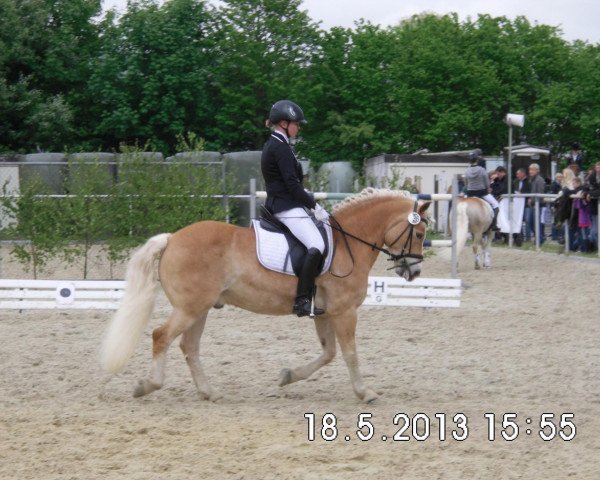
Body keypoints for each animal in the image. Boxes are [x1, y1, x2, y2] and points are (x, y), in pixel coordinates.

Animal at [102, 188, 432, 402]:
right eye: (418, 234)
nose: (414, 271)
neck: (348, 242)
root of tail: (172, 239)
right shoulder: (344, 311)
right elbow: (350, 354)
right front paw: (365, 393)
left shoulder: (324, 312)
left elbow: (329, 353)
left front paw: (288, 376)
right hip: (190, 308)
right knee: (162, 337)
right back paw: (148, 385)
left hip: (200, 308)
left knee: (188, 346)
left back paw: (209, 392)